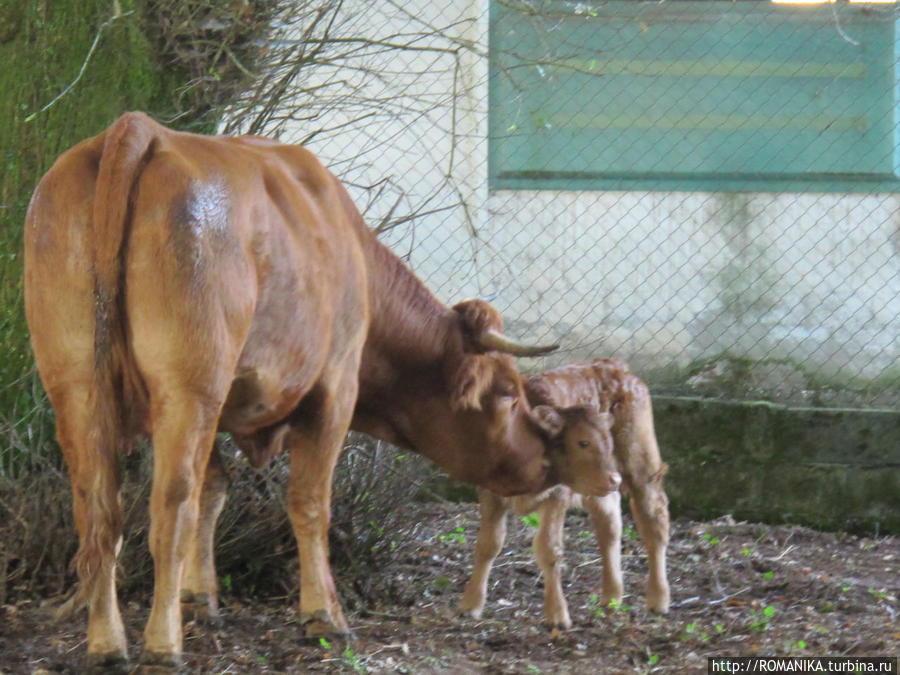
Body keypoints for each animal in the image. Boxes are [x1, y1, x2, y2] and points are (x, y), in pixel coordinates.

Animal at [24, 112, 568, 672]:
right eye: (506, 392)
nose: (546, 456)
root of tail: (141, 129)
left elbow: (214, 491)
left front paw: (199, 599)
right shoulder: (334, 390)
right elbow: (309, 504)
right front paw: (324, 614)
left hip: (78, 385)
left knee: (98, 510)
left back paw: (107, 643)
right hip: (187, 388)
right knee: (170, 507)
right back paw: (161, 646)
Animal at [460, 360, 672, 628]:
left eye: (608, 442)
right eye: (583, 442)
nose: (614, 479)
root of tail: (617, 368)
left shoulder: (557, 495)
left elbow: (549, 550)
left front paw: (557, 615)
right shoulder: (490, 494)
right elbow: (488, 544)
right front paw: (470, 604)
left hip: (641, 467)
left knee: (653, 519)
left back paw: (658, 599)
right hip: (598, 487)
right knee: (609, 524)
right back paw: (612, 596)